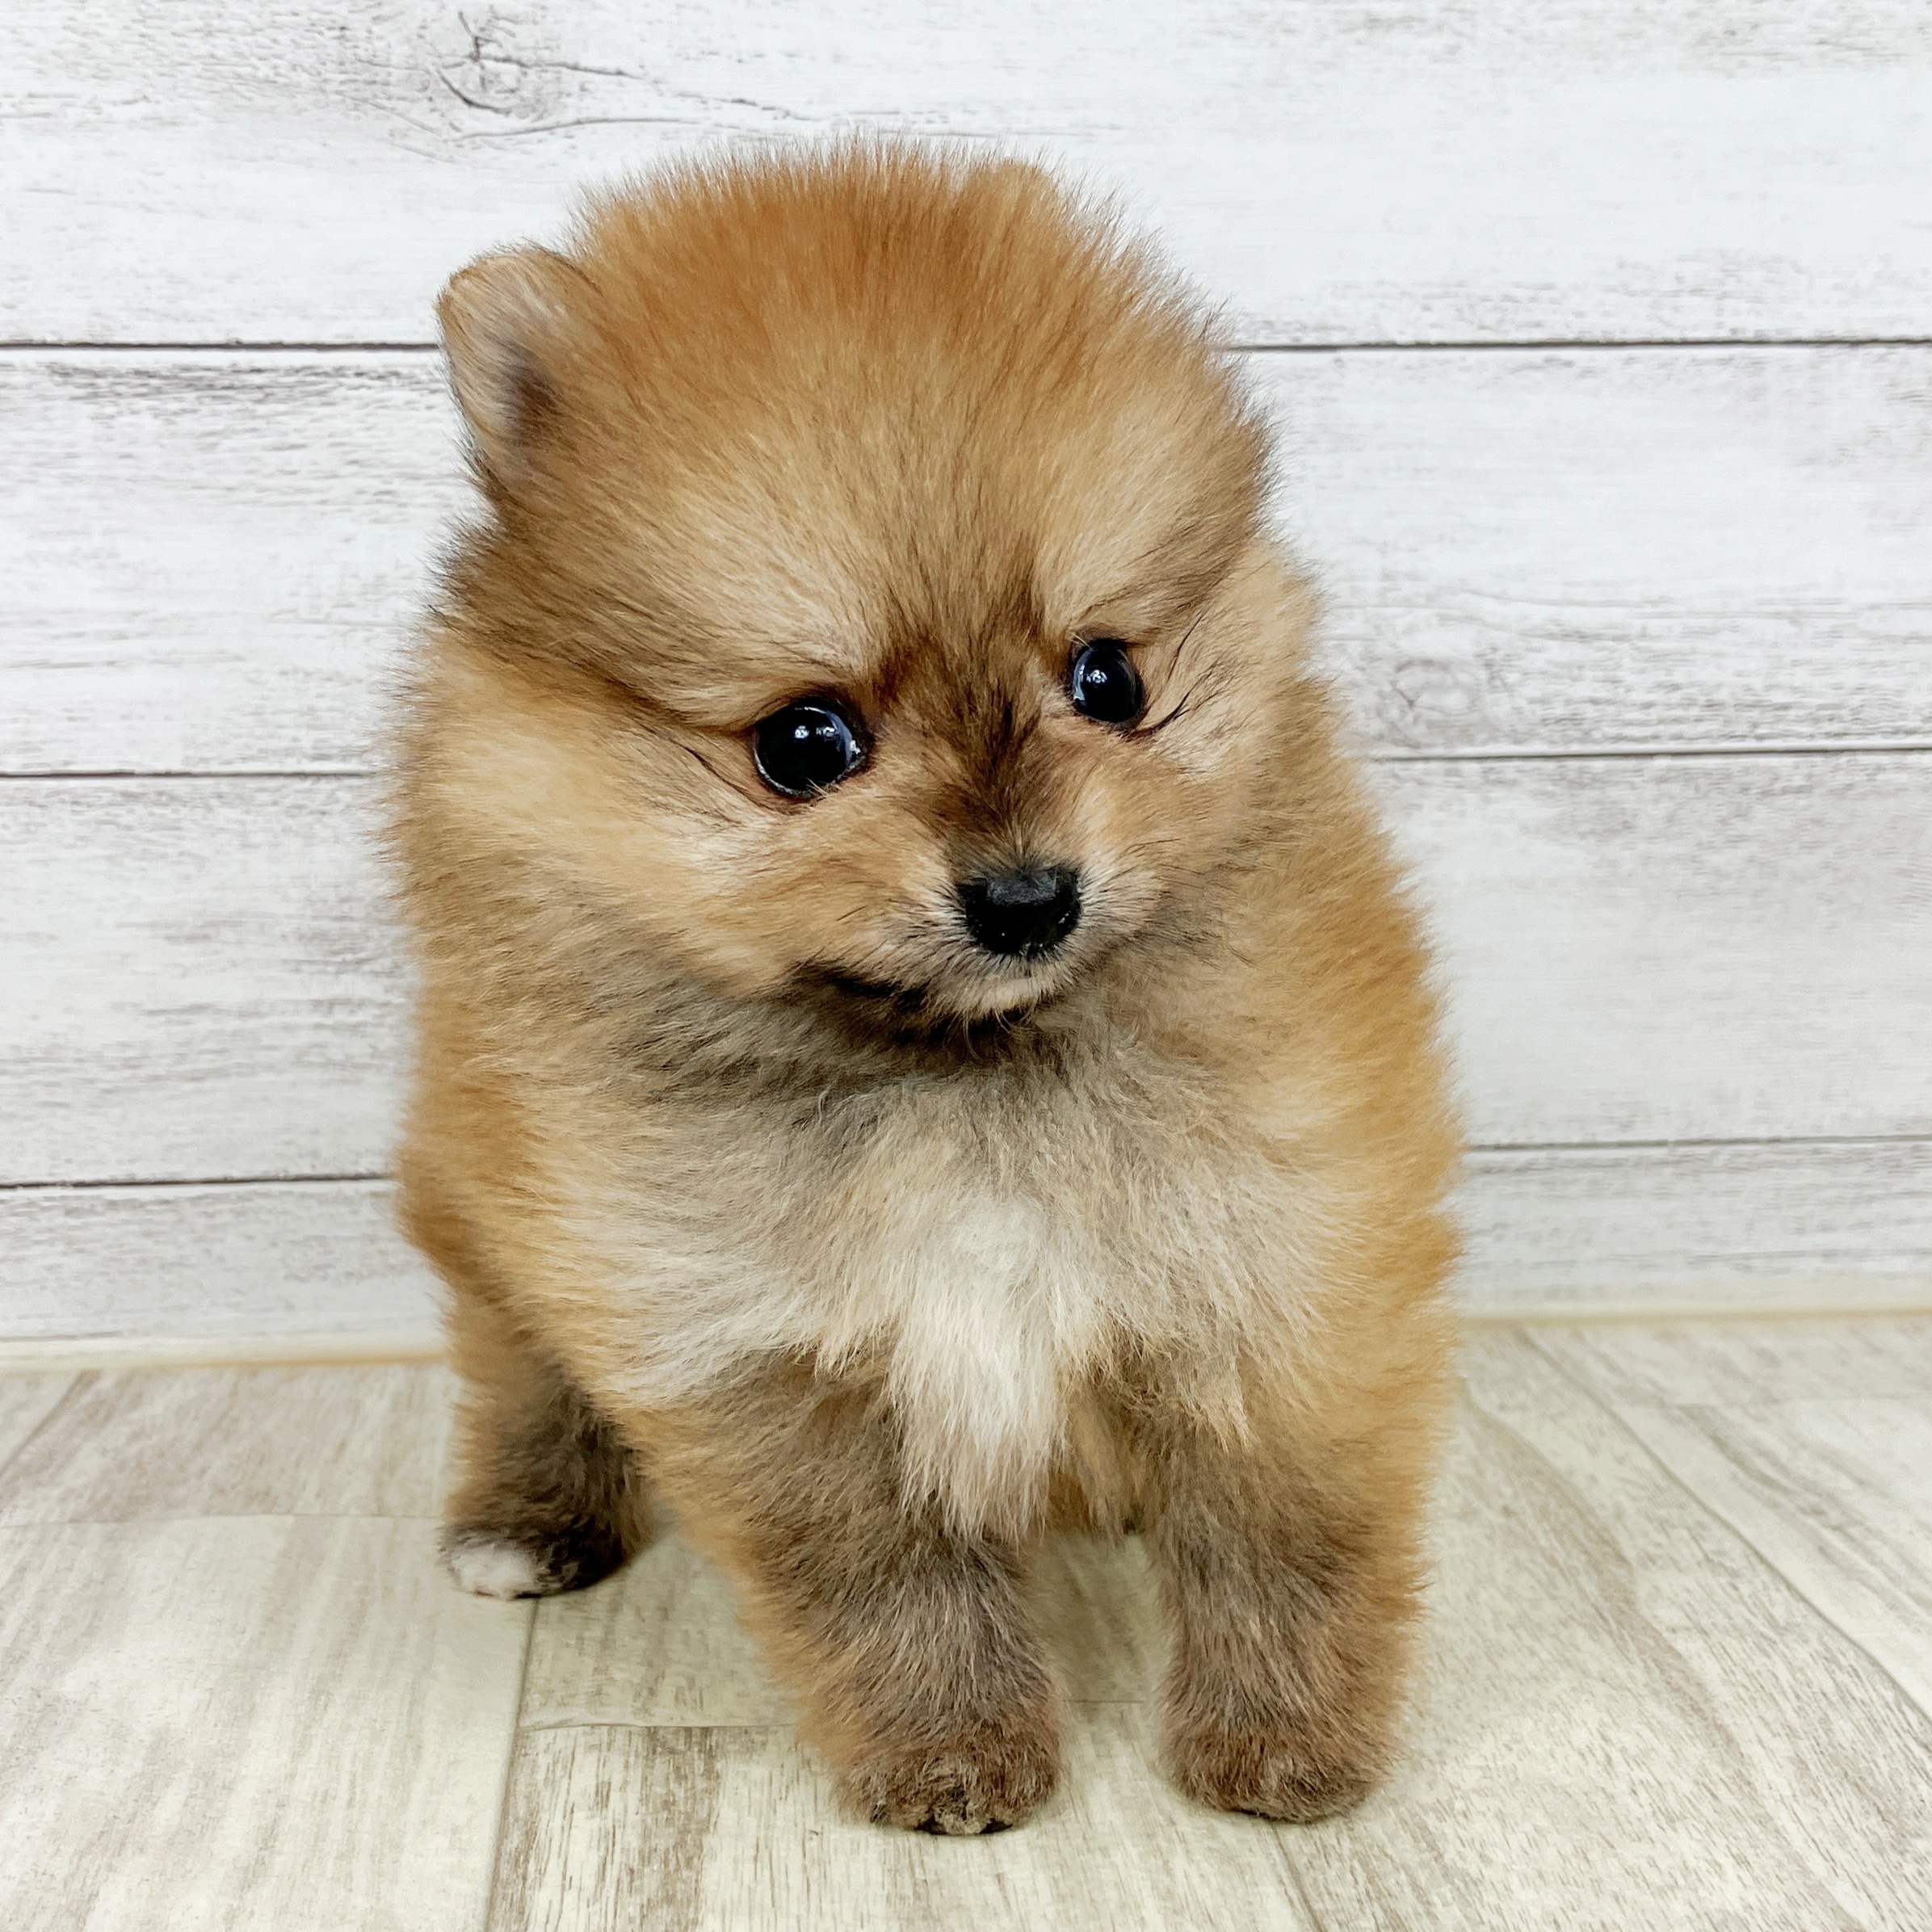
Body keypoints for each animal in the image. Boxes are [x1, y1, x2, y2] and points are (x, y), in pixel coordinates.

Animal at [392, 142, 1460, 1835]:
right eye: (804, 742)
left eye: (1110, 679)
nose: (1028, 896)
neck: (961, 1076)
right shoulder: (749, 1343)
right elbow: (884, 1580)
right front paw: (949, 1750)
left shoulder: (1277, 1262)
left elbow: (1286, 1533)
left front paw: (1283, 1738)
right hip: (488, 1204)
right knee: (521, 1369)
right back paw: (525, 1517)